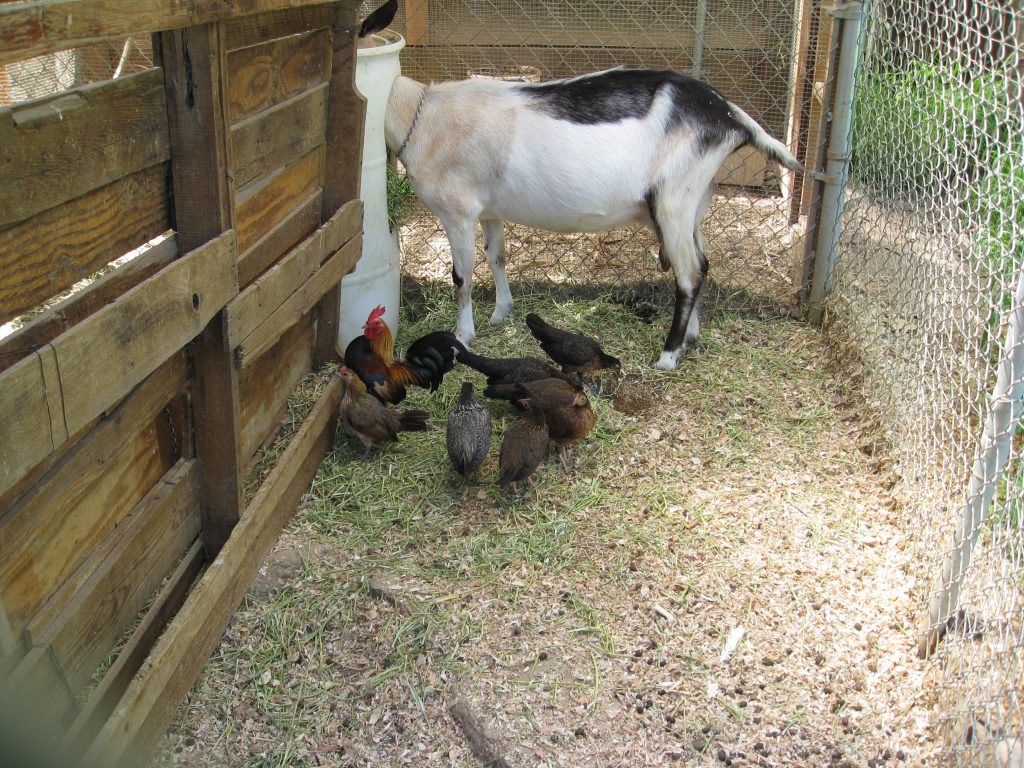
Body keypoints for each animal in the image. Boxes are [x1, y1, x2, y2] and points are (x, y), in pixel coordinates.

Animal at [364, 6, 802, 370]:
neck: (420, 114)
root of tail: (731, 116)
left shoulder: (457, 210)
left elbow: (462, 276)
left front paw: (463, 335)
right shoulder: (489, 210)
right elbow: (498, 256)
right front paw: (502, 312)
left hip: (674, 199)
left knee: (690, 271)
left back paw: (668, 354)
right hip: (694, 201)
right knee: (701, 263)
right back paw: (691, 336)